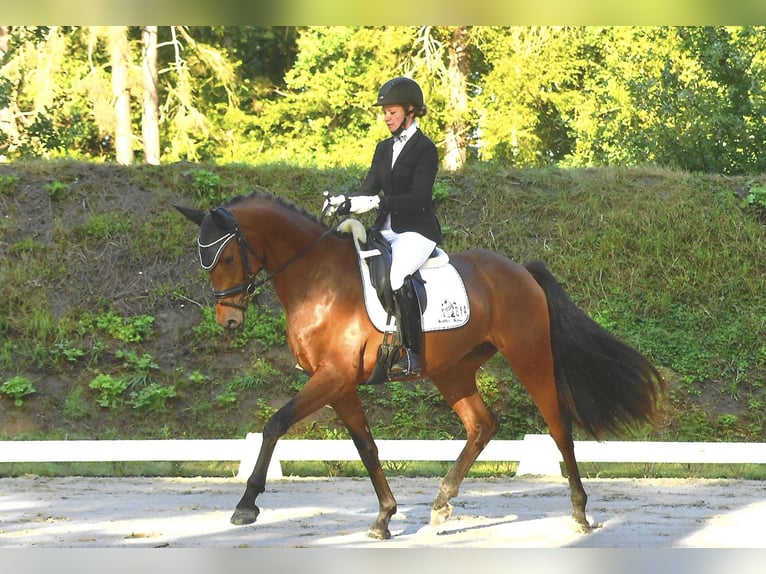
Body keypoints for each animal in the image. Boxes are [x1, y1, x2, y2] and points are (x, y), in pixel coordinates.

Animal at [176, 194, 664, 540]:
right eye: (205, 261)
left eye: (227, 258)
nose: (229, 321)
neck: (318, 281)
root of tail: (521, 270)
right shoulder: (339, 384)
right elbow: (366, 447)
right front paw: (384, 517)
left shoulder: (331, 378)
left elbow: (275, 424)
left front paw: (247, 505)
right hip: (452, 370)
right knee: (482, 425)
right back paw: (441, 505)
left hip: (529, 355)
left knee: (559, 425)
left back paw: (580, 513)